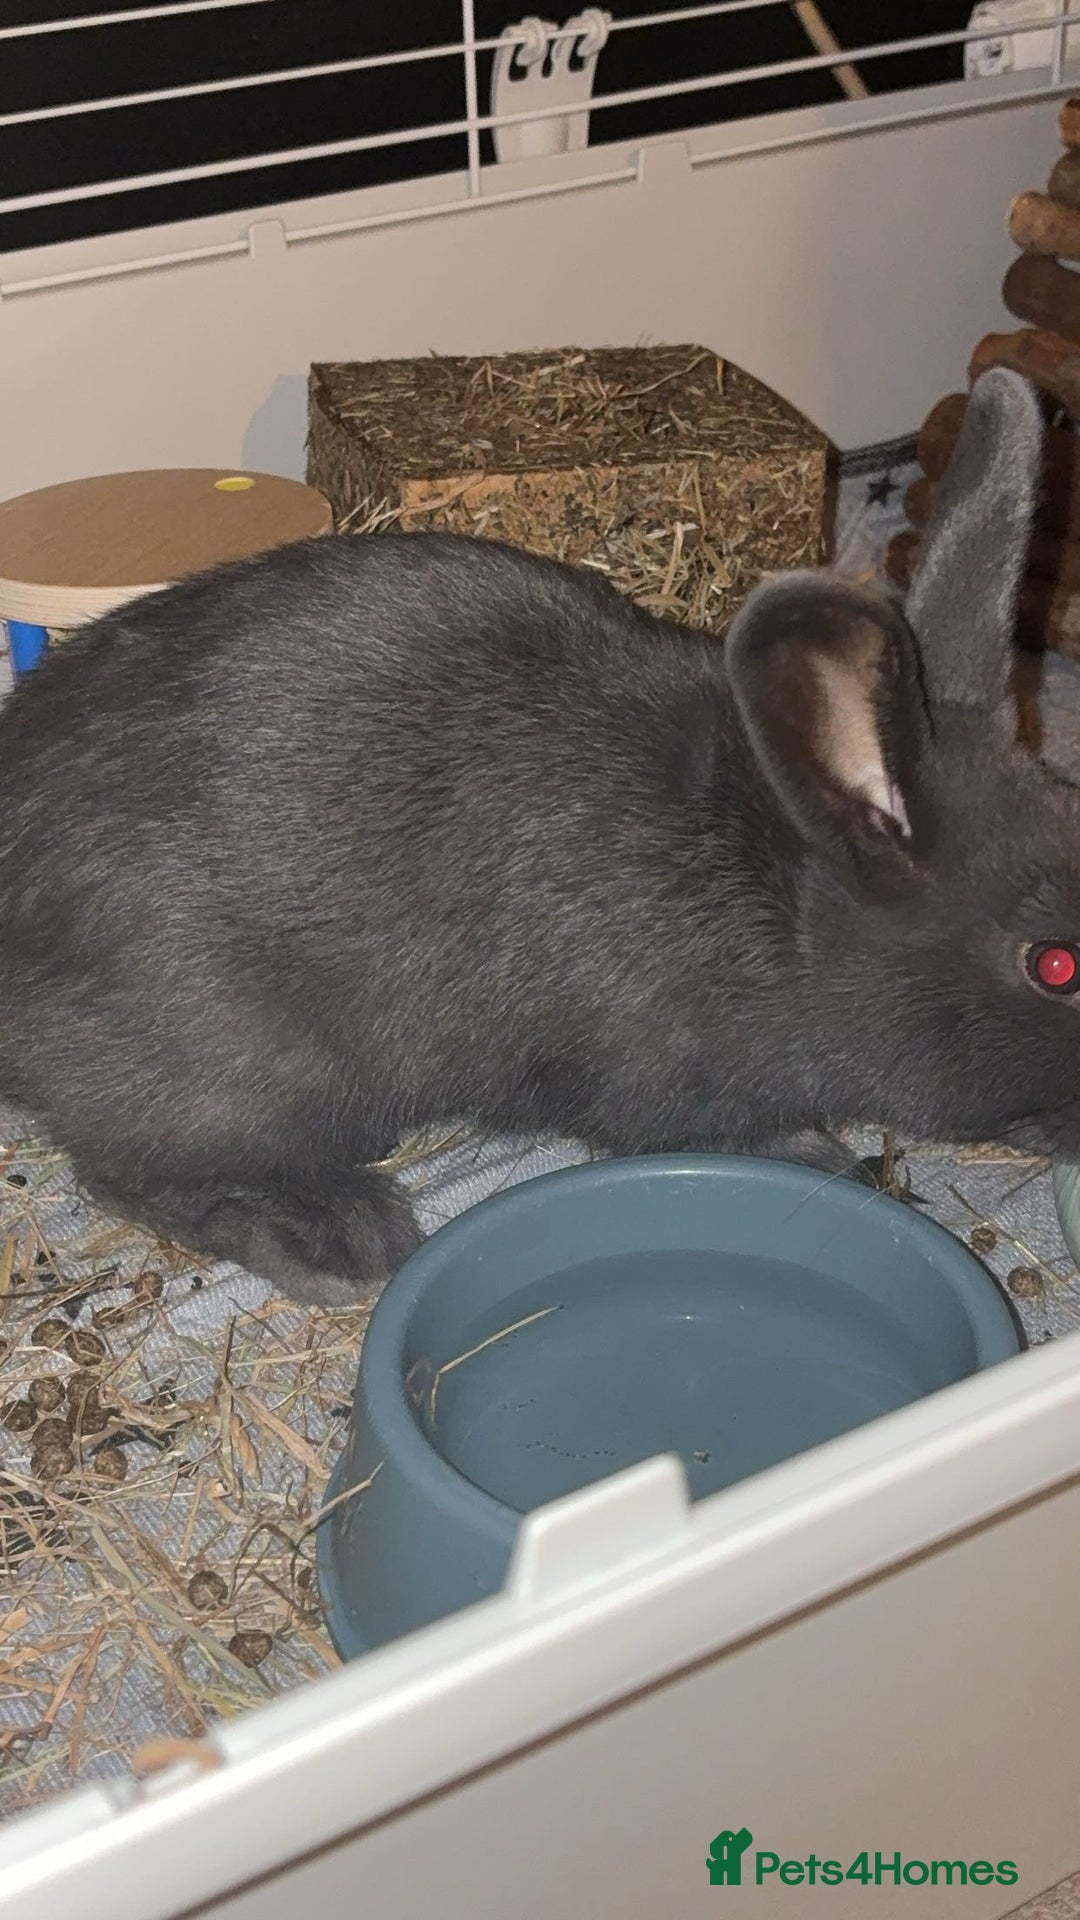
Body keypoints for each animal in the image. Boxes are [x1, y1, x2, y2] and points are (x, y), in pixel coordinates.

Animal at [0, 364, 1071, 1309]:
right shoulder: (661, 1084)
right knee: (133, 1166)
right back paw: (339, 1238)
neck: (782, 895)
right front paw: (835, 1162)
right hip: (240, 1063)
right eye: (1053, 966)